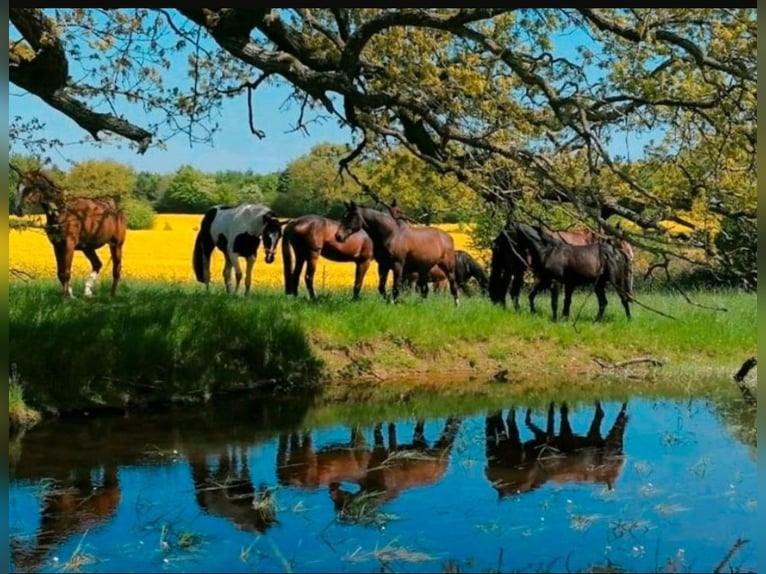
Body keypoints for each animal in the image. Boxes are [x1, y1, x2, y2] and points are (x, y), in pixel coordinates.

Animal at [14, 168, 127, 298]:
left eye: (29, 188)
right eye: (18, 187)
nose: (18, 210)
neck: (63, 213)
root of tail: (117, 210)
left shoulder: (69, 244)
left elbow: (66, 272)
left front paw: (65, 296)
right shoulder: (57, 246)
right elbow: (60, 273)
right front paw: (70, 294)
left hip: (116, 245)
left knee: (116, 269)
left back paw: (111, 294)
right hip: (87, 247)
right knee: (97, 264)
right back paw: (88, 292)